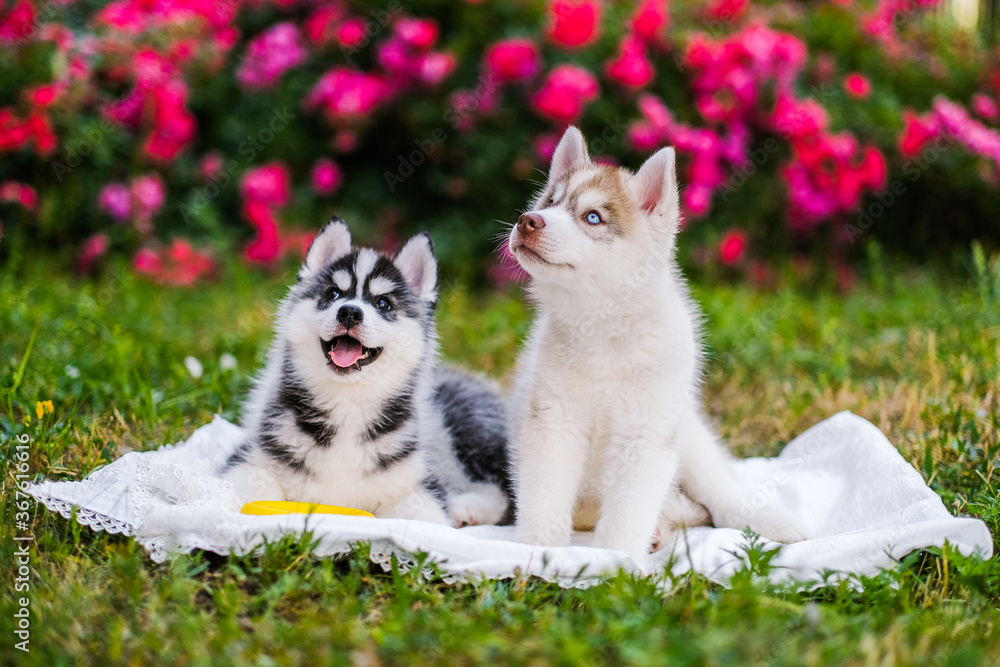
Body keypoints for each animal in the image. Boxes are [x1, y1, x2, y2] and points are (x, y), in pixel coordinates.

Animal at [222, 219, 512, 528]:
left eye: (383, 303)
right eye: (333, 294)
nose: (349, 312)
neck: (347, 404)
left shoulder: (417, 483)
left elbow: (427, 520)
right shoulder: (249, 457)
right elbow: (252, 488)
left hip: (467, 424)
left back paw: (467, 508)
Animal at [508, 126, 804, 564]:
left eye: (592, 217)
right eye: (550, 202)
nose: (527, 221)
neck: (604, 328)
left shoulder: (646, 434)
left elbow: (628, 514)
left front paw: (615, 563)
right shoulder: (553, 421)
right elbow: (545, 499)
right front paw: (537, 554)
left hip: (688, 434)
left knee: (720, 493)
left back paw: (766, 519)